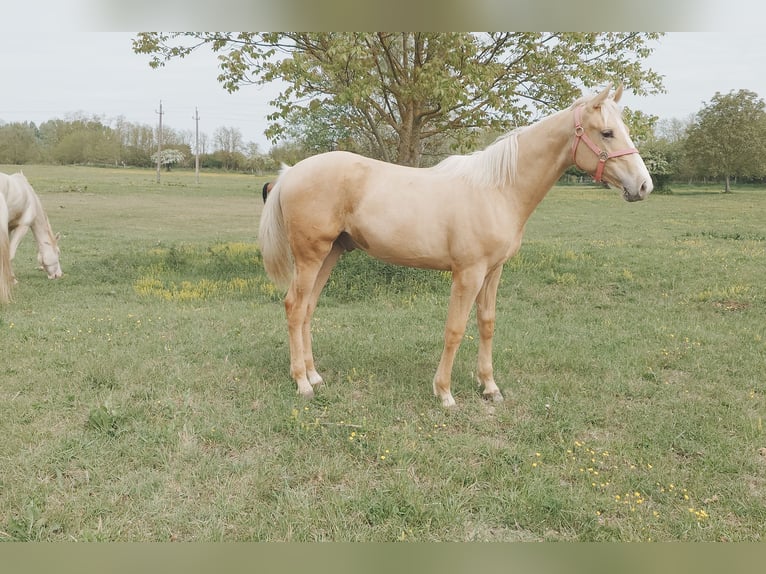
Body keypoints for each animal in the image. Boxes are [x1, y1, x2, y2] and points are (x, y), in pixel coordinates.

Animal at [0, 171, 63, 302]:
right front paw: (13, 280)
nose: (59, 275)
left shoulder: (8, 228)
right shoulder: (23, 226)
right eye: (58, 252)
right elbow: (10, 255)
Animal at [258, 85, 653, 407]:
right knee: (295, 307)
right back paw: (302, 384)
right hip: (310, 256)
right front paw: (444, 392)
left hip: (330, 254)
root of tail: (290, 173)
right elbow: (455, 328)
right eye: (607, 132)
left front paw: (489, 387)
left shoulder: (493, 271)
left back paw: (314, 376)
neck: (498, 190)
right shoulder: (468, 273)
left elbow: (487, 323)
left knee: (308, 309)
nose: (644, 185)